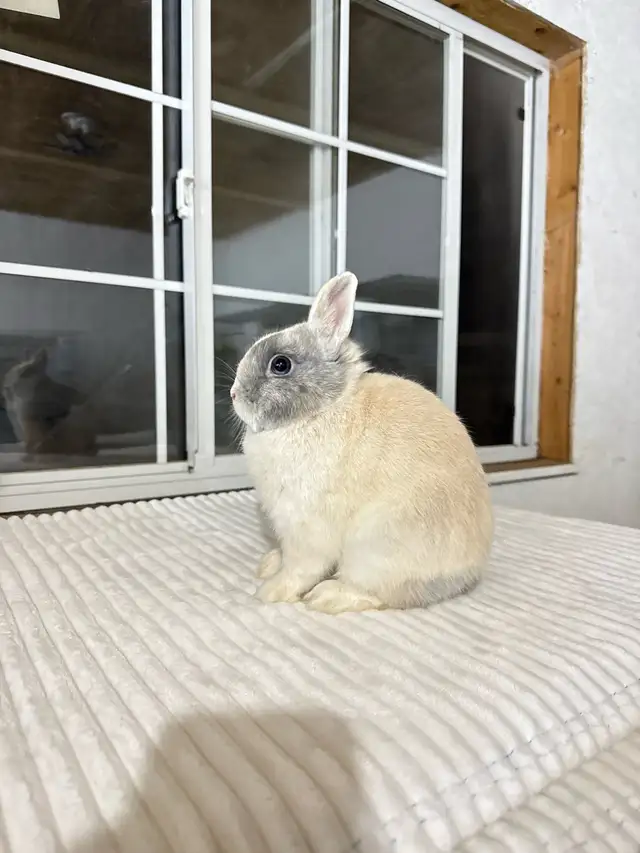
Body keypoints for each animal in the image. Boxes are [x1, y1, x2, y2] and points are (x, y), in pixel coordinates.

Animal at [230, 272, 494, 614]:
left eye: (280, 365)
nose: (234, 394)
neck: (320, 410)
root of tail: (468, 574)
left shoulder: (306, 527)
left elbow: (302, 567)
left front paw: (269, 592)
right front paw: (269, 567)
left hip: (376, 546)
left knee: (377, 594)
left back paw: (327, 596)